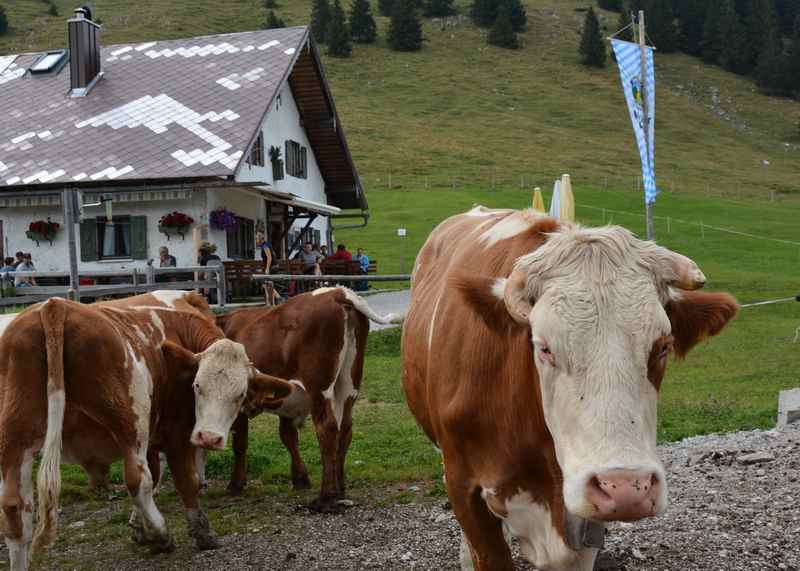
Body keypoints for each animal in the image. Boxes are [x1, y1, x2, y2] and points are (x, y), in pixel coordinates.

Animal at [0, 298, 296, 568]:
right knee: (137, 479)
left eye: (241, 394)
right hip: (130, 424)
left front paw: (139, 529)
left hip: (16, 437)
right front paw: (200, 532)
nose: (209, 438)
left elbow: (157, 473)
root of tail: (56, 306)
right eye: (197, 386)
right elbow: (183, 481)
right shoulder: (178, 431)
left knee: (16, 509)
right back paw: (162, 534)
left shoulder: (157, 436)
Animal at [216, 288, 404, 512]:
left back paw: (326, 497)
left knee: (327, 427)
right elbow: (288, 436)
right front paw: (300, 478)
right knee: (345, 428)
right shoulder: (285, 401)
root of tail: (337, 292)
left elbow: (240, 443)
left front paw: (235, 484)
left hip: (319, 387)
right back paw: (340, 489)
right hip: (349, 383)